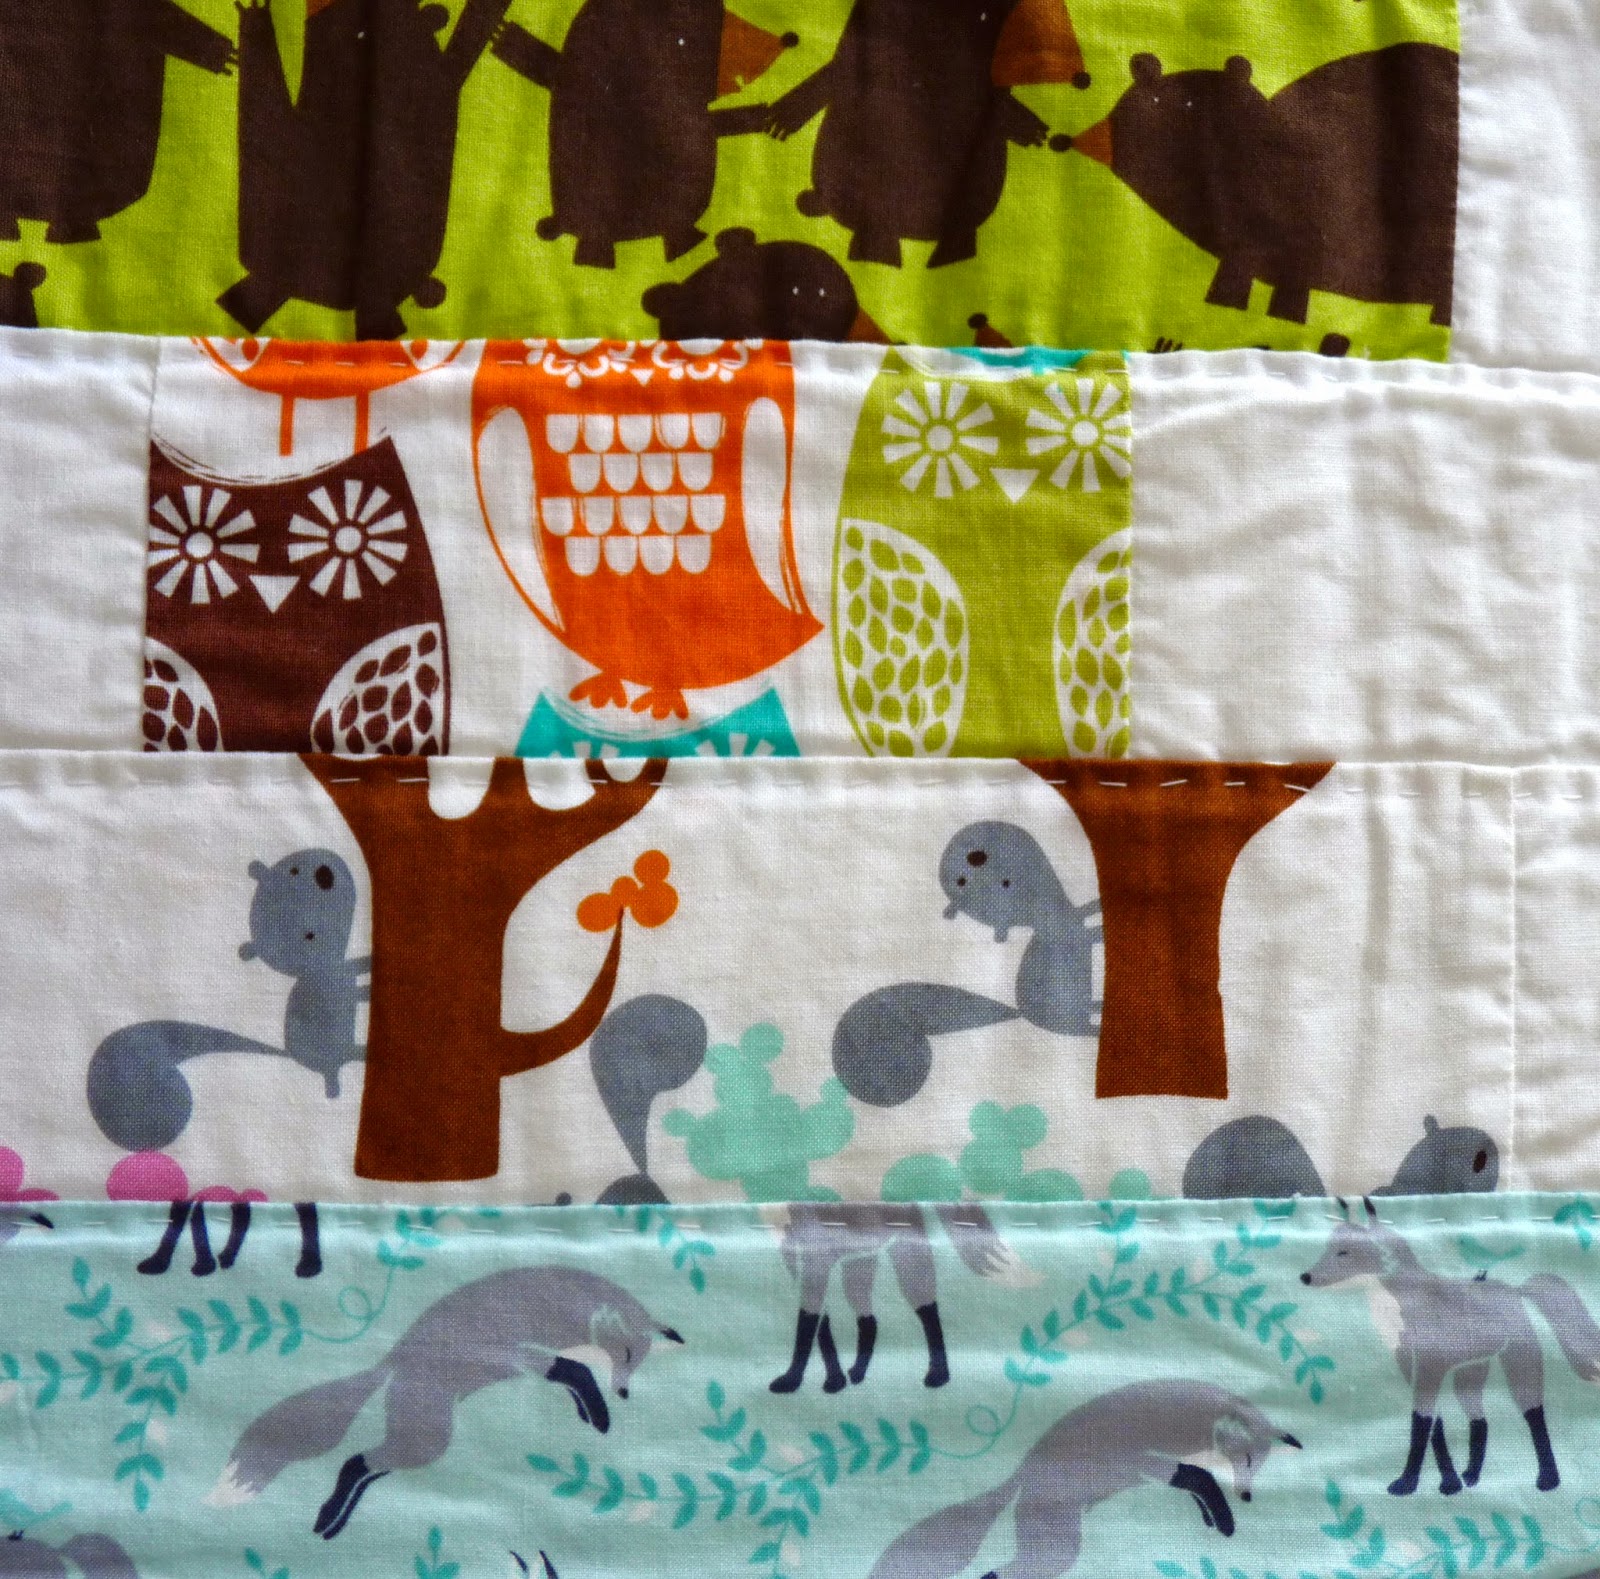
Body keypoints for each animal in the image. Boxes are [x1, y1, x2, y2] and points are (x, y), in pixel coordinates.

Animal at [209, 1266, 682, 1538]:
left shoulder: (522, 1357)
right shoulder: (509, 1350)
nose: (624, 1391)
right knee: (356, 1462)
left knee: (364, 1464)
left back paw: (333, 1520)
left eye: (638, 1362)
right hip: (428, 1439)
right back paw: (329, 1517)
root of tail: (390, 1361)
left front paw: (591, 1411)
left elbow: (574, 1375)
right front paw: (598, 1413)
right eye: (625, 1354)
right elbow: (575, 1371)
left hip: (421, 1435)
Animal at [768, 1202, 1039, 1395]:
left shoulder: (815, 1259)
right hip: (860, 1262)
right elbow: (820, 1323)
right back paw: (858, 1372)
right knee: (868, 1318)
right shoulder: (801, 1262)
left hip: (905, 1253)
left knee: (925, 1308)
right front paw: (831, 1380)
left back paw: (938, 1374)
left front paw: (795, 1380)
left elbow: (810, 1320)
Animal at [868, 1379, 1299, 1579]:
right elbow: (1197, 1478)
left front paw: (1214, 1517)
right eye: (1246, 1459)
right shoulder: (1136, 1458)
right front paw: (1224, 1520)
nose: (1247, 1497)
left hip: (1057, 1540)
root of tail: (1022, 1473)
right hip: (1058, 1540)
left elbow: (1199, 1483)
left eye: (1258, 1466)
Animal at [1301, 1198, 1600, 1495]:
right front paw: (1450, 1483)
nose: (1305, 1277)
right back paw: (1471, 1476)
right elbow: (1435, 1426)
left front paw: (1407, 1483)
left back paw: (1548, 1479)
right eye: (1328, 1248)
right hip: (1468, 1376)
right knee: (1480, 1421)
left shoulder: (1429, 1364)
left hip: (1520, 1364)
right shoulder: (1407, 1364)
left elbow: (1421, 1422)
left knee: (1534, 1416)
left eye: (1344, 1252)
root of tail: (1514, 1289)